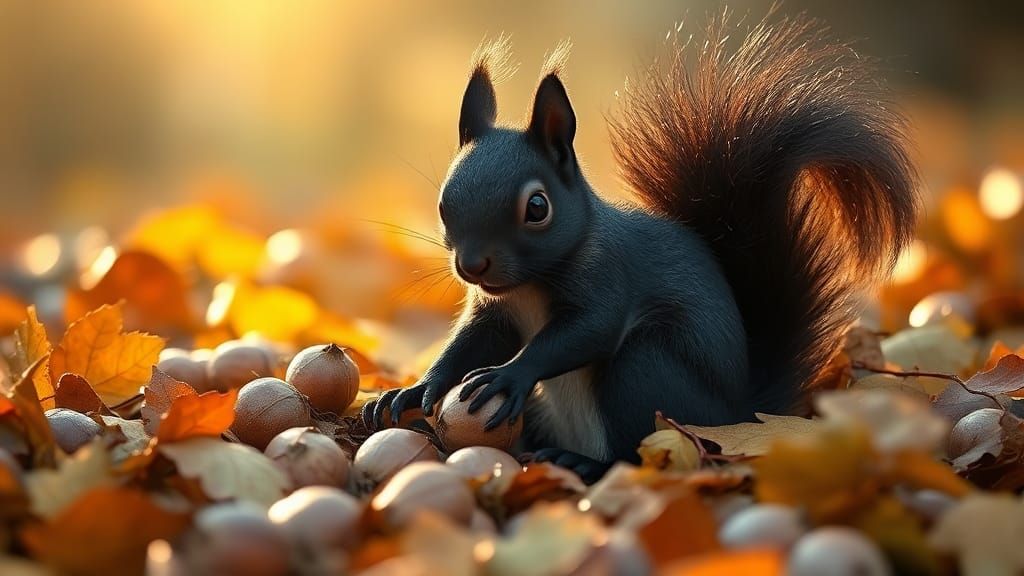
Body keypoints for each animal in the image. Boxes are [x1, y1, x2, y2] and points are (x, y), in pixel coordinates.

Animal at [367, 12, 918, 481]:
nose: (472, 264)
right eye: (444, 200)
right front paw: (416, 389)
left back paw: (581, 462)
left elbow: (584, 332)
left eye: (538, 207)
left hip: (646, 371)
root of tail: (740, 415)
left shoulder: (609, 277)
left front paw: (510, 374)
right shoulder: (495, 312)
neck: (527, 286)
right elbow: (468, 344)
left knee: (632, 452)